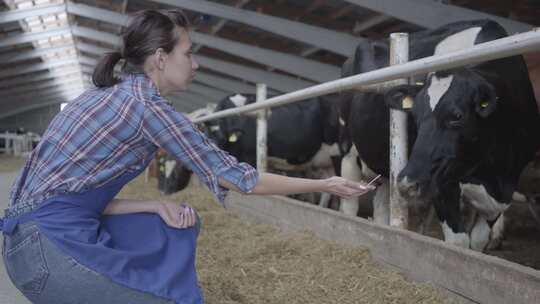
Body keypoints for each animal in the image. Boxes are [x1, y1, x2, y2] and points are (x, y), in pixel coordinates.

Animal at [340, 19, 536, 252]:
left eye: (457, 116)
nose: (407, 183)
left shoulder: (500, 197)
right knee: (348, 204)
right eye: (414, 115)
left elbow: (478, 241)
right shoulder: (444, 185)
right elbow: (458, 242)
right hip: (347, 151)